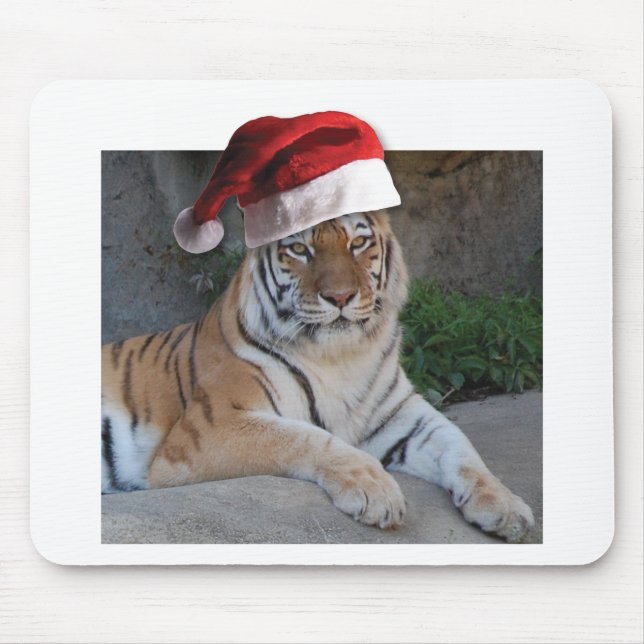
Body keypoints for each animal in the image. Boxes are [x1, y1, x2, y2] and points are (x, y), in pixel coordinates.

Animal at [102, 211, 534, 542]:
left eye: (357, 243)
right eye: (299, 249)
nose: (340, 297)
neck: (340, 356)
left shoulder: (403, 414)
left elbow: (462, 449)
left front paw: (506, 506)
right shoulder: (207, 430)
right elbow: (305, 437)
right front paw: (375, 490)